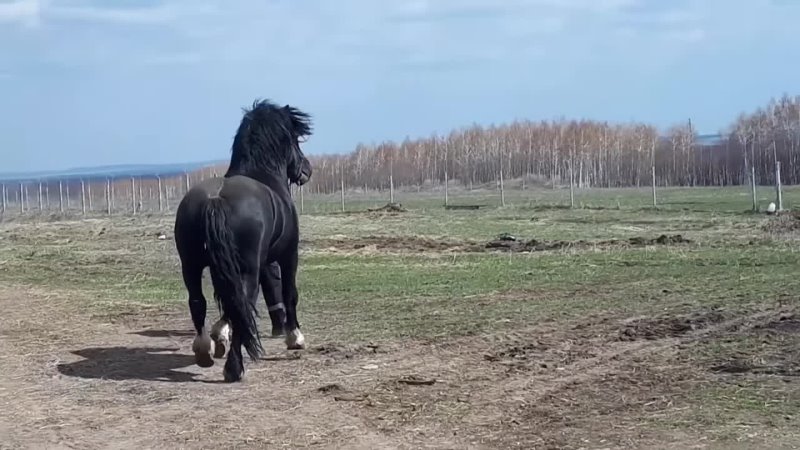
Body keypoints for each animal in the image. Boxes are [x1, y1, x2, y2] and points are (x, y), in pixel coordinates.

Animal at [175, 99, 312, 384]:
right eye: (296, 140)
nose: (307, 170)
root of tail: (215, 199)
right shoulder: (288, 255)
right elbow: (289, 292)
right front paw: (295, 338)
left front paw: (219, 336)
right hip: (247, 268)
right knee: (243, 304)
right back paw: (234, 368)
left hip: (191, 266)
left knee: (199, 303)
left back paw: (204, 351)